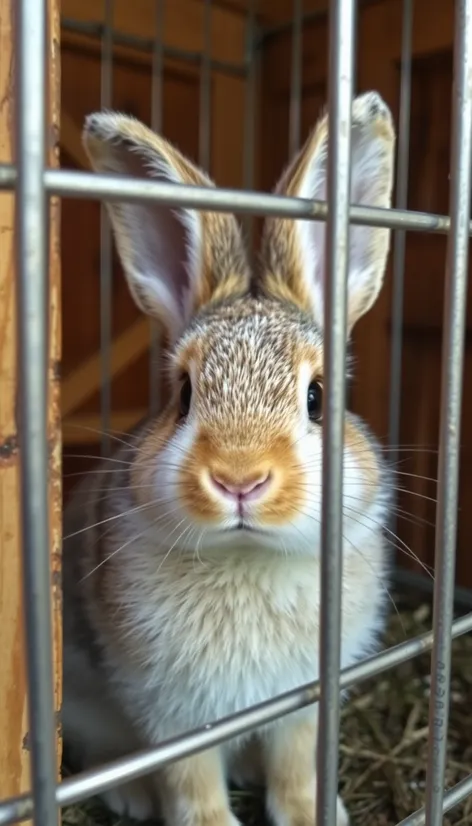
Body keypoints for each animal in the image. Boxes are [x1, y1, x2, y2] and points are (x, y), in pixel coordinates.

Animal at [62, 90, 394, 824]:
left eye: (318, 398)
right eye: (183, 394)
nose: (240, 480)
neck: (247, 556)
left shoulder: (300, 705)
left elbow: (295, 770)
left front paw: (313, 812)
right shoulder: (173, 714)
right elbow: (192, 785)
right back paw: (129, 794)